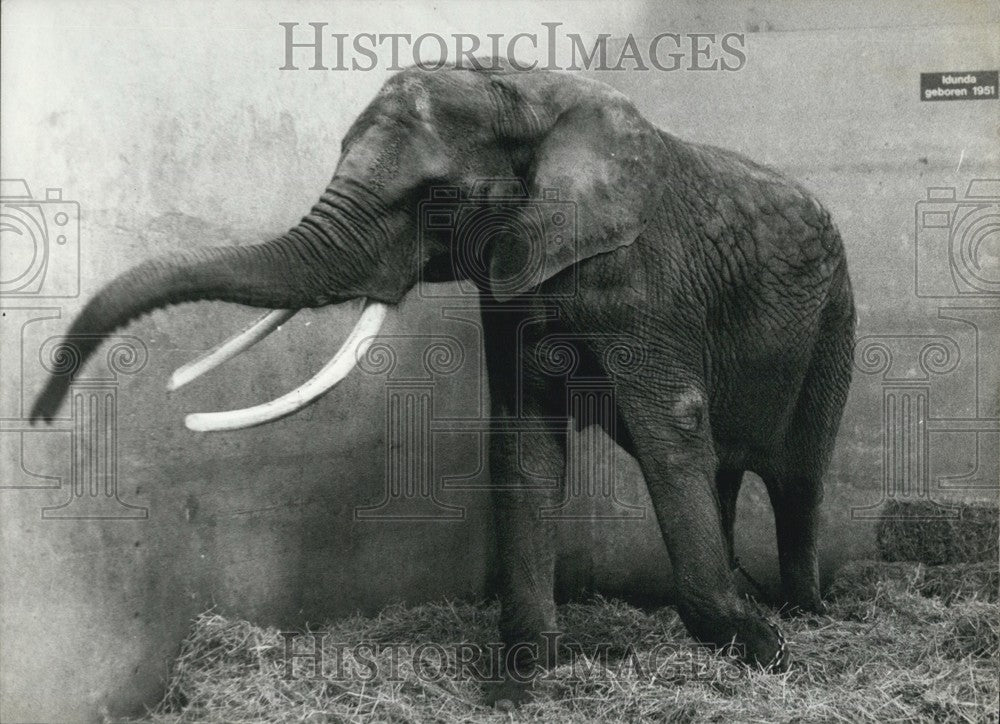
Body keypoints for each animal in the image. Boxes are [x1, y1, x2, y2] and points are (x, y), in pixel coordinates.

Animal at [31, 59, 855, 703]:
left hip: (835, 316)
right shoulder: (510, 279)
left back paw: (805, 615)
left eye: (432, 196)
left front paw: (760, 654)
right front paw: (519, 685)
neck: (523, 92)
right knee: (724, 469)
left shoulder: (643, 282)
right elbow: (525, 444)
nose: (41, 411)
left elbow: (671, 424)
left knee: (796, 475)